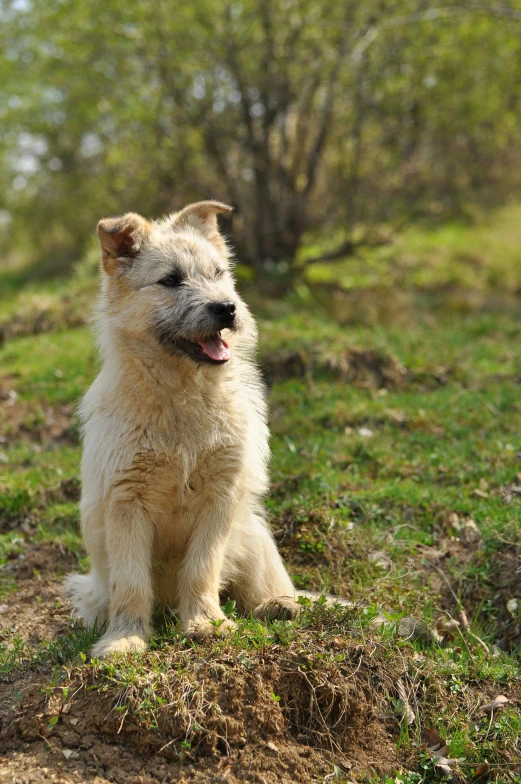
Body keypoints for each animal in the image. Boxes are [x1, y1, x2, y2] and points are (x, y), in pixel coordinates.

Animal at [65, 201, 300, 656]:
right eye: (171, 281)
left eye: (219, 273)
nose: (227, 308)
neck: (181, 396)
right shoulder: (126, 502)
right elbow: (131, 583)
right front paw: (125, 638)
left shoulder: (220, 498)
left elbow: (202, 568)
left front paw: (206, 622)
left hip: (253, 532)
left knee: (261, 586)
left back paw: (278, 605)